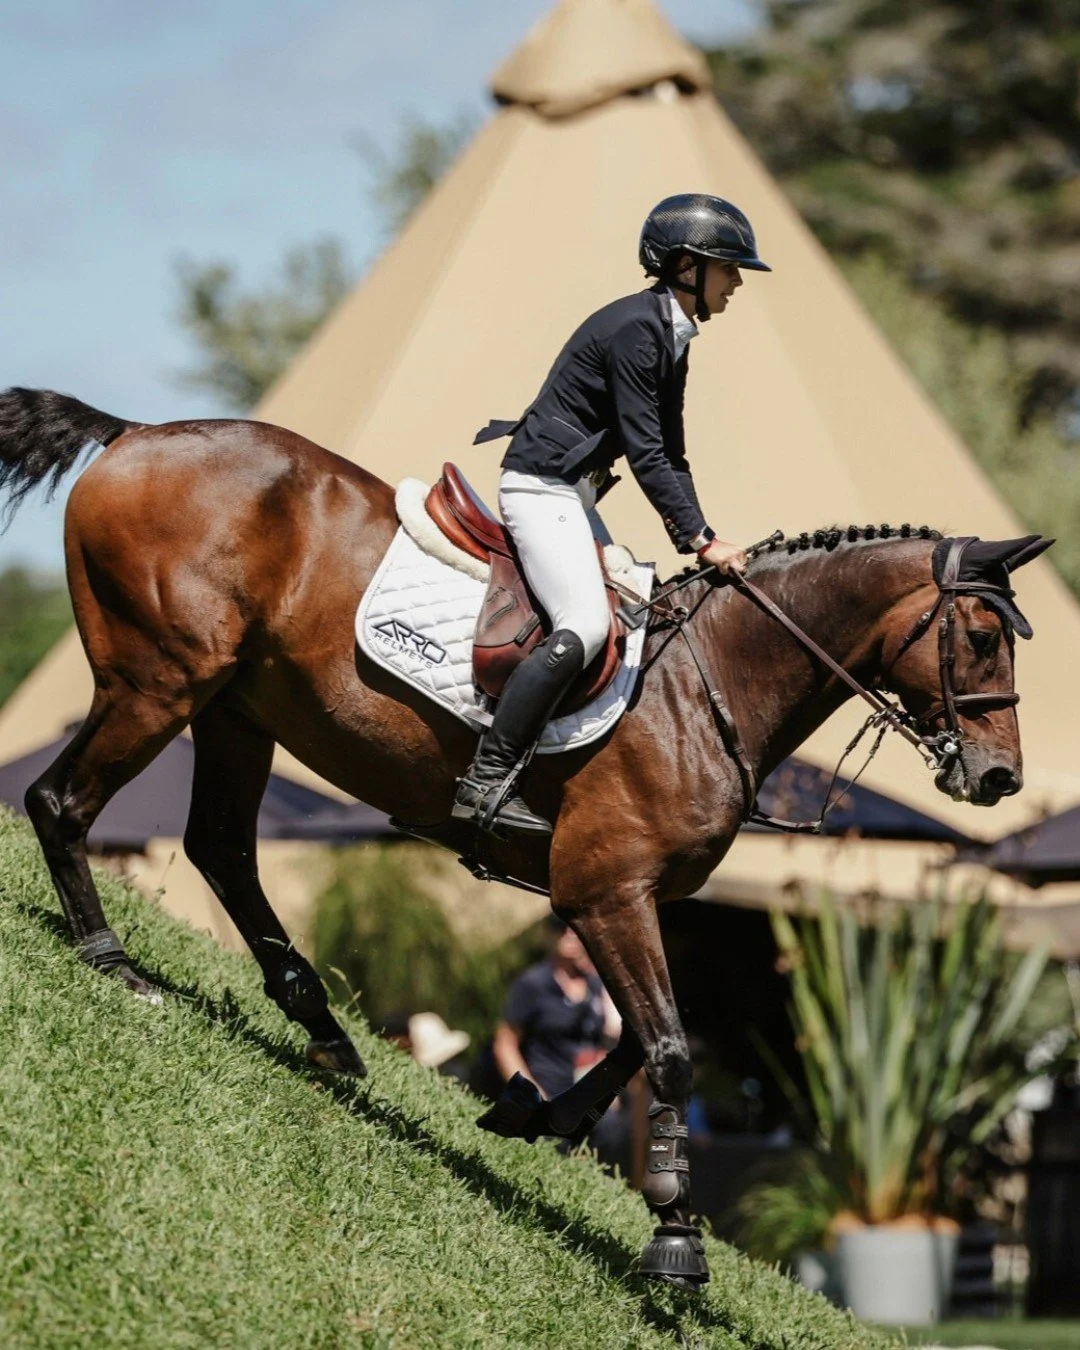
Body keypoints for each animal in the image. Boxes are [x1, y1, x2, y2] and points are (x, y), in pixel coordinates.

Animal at [0, 387, 1048, 1290]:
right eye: (983, 639)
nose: (999, 779)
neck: (713, 686)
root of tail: (138, 434)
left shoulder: (624, 897)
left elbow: (639, 1044)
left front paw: (533, 1113)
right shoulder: (603, 892)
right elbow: (668, 1050)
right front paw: (674, 1235)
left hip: (236, 708)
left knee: (219, 847)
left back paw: (323, 1028)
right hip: (162, 680)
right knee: (61, 801)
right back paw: (114, 962)